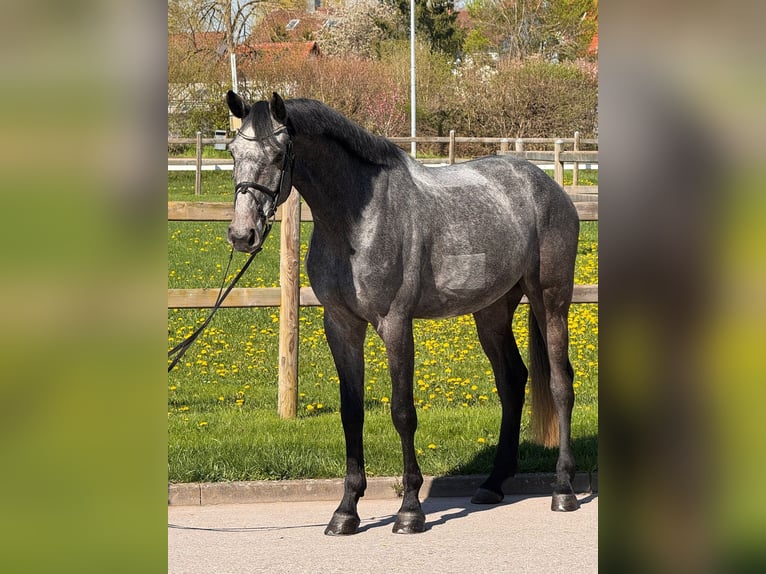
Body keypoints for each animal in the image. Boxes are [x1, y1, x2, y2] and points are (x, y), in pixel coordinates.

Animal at [225, 91, 581, 535]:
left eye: (277, 154)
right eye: (231, 151)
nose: (242, 234)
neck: (357, 222)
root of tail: (548, 185)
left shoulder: (395, 324)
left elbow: (402, 411)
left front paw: (410, 510)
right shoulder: (341, 325)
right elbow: (351, 413)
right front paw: (346, 511)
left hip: (551, 302)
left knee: (561, 384)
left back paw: (563, 489)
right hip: (492, 311)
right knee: (512, 381)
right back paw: (493, 483)